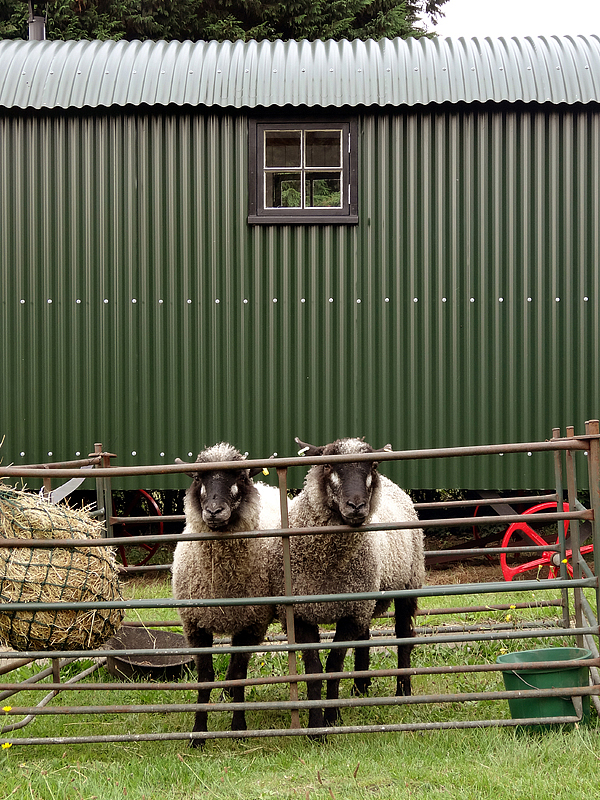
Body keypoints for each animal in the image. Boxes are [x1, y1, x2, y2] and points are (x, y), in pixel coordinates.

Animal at [171, 442, 281, 745]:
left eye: (240, 477)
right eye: (199, 478)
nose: (214, 511)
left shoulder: (251, 624)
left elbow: (240, 674)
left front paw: (239, 727)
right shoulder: (195, 625)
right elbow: (205, 677)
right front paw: (198, 733)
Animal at [274, 436, 424, 731]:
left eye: (372, 466)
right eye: (327, 465)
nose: (356, 506)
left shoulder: (350, 613)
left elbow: (334, 666)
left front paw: (331, 719)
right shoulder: (302, 615)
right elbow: (313, 670)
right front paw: (315, 725)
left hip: (407, 583)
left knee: (404, 635)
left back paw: (403, 690)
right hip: (366, 595)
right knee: (365, 637)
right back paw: (360, 686)